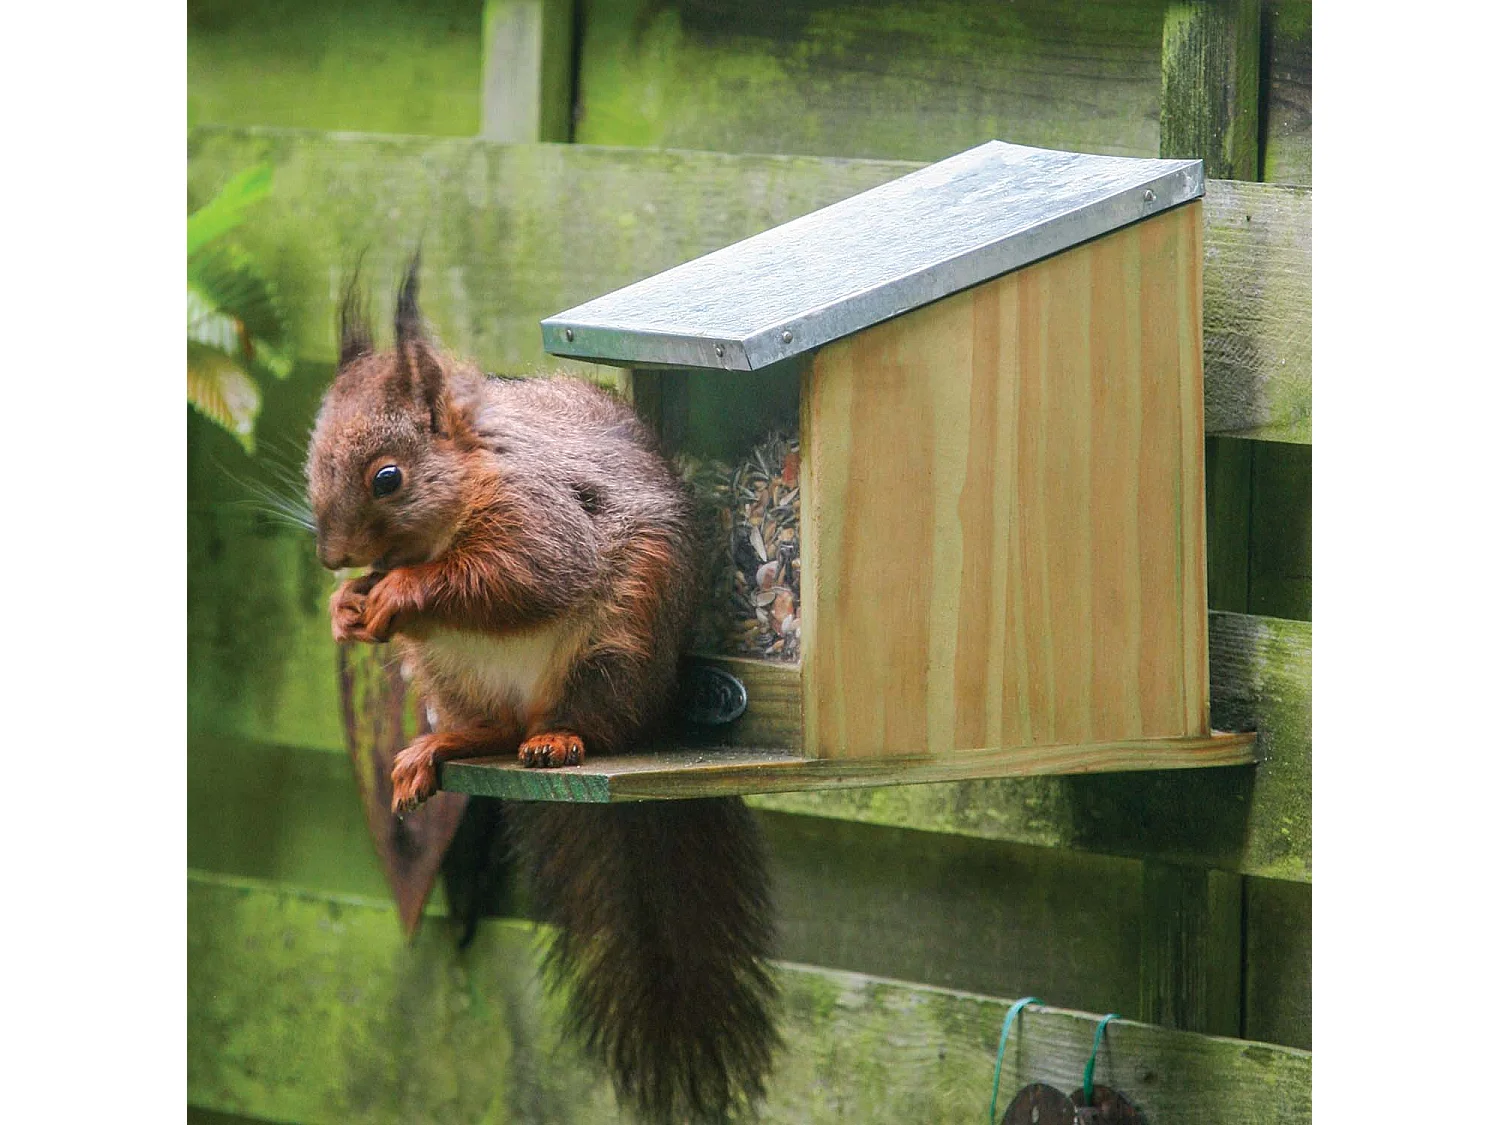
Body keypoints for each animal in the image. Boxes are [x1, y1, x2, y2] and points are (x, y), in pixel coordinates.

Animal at [305, 258, 780, 1123]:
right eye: (312, 460)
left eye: (388, 477)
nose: (331, 554)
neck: (471, 471)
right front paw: (347, 608)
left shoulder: (543, 515)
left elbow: (520, 576)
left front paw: (399, 594)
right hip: (453, 677)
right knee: (492, 726)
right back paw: (435, 747)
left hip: (615, 646)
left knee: (593, 721)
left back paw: (560, 737)